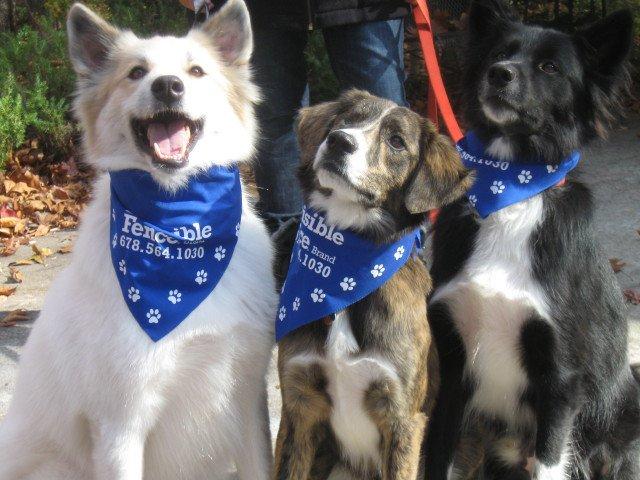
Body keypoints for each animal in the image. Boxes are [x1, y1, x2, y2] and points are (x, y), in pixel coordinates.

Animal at [424, 1, 640, 478]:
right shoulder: (452, 370)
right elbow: (437, 455)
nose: (499, 74)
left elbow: (549, 461)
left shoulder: (560, 382)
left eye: (550, 67)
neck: (511, 187)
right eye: (499, 53)